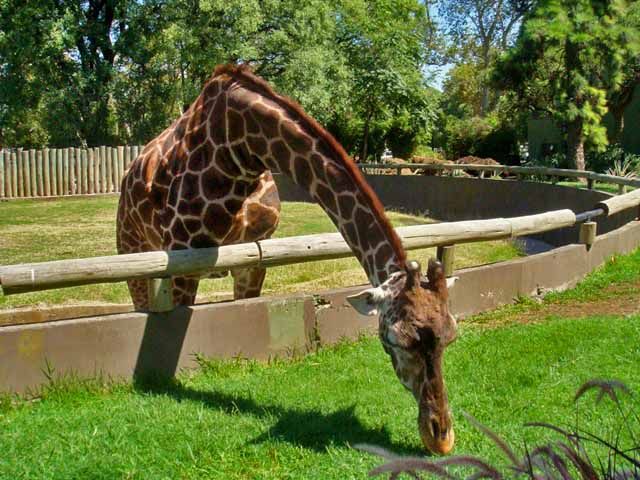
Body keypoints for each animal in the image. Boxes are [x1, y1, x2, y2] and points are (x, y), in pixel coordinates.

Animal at [117, 64, 458, 454]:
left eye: (451, 336)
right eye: (396, 341)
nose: (440, 437)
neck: (241, 147)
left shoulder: (254, 257)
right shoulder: (183, 257)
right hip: (132, 248)